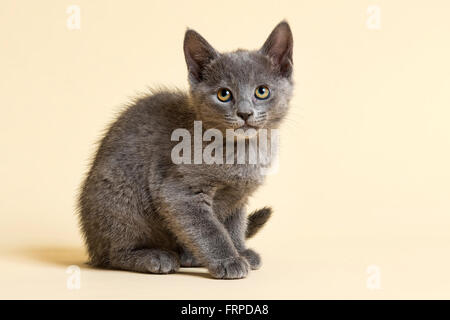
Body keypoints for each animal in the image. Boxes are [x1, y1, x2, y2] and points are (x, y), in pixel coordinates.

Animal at [77, 21, 294, 278]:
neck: (243, 150)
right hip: (119, 196)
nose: (245, 113)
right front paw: (229, 260)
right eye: (224, 94)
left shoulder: (238, 197)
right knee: (113, 254)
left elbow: (234, 227)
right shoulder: (179, 191)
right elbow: (210, 230)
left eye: (262, 91)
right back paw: (153, 256)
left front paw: (240, 251)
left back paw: (190, 256)